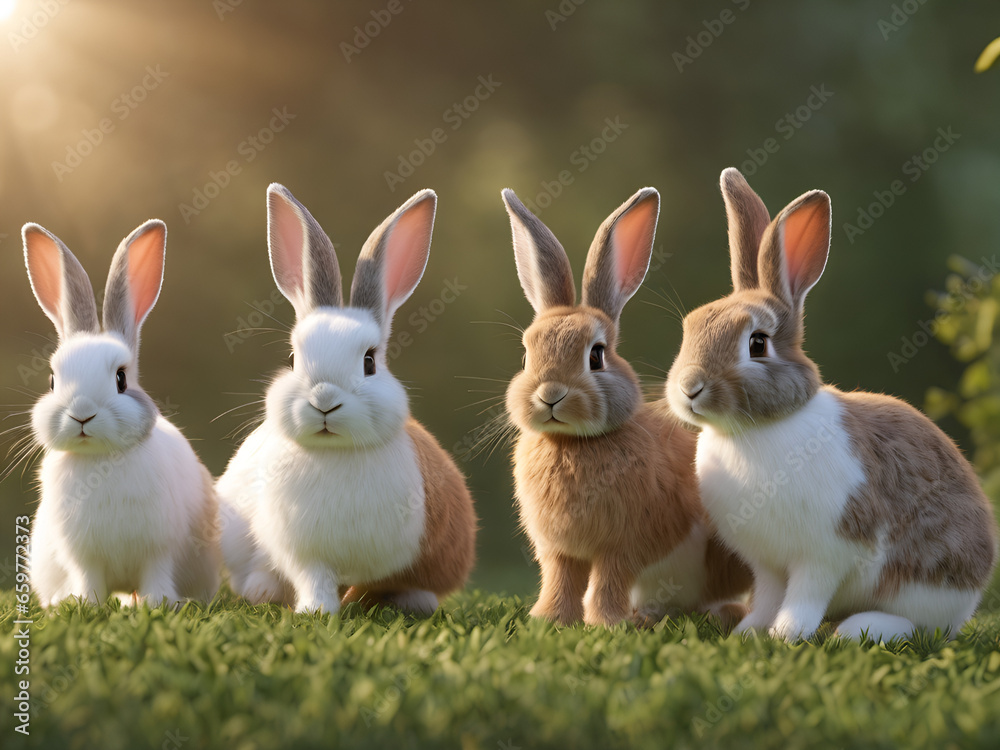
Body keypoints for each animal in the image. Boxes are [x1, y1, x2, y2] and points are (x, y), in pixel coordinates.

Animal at [23, 220, 221, 607]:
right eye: (52, 380)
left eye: (121, 379)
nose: (82, 414)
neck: (100, 460)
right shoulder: (83, 556)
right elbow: (88, 579)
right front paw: (84, 604)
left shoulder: (159, 548)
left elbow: (157, 574)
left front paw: (161, 603)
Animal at [216, 183, 477, 615]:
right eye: (292, 359)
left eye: (369, 361)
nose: (324, 401)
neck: (335, 453)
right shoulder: (305, 554)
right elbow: (314, 579)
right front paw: (316, 611)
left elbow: (386, 582)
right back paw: (263, 591)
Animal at [501, 187, 752, 628]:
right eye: (526, 354)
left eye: (596, 356)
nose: (550, 393)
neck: (572, 444)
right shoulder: (558, 551)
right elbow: (560, 578)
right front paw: (550, 619)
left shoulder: (623, 545)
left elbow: (609, 577)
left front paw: (606, 623)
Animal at [665, 167, 999, 641]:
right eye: (690, 326)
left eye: (757, 343)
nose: (689, 387)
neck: (755, 431)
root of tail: (974, 590)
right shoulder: (767, 565)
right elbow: (767, 596)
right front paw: (749, 631)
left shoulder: (826, 553)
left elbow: (806, 595)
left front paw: (787, 634)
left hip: (925, 582)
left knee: (919, 625)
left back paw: (858, 629)